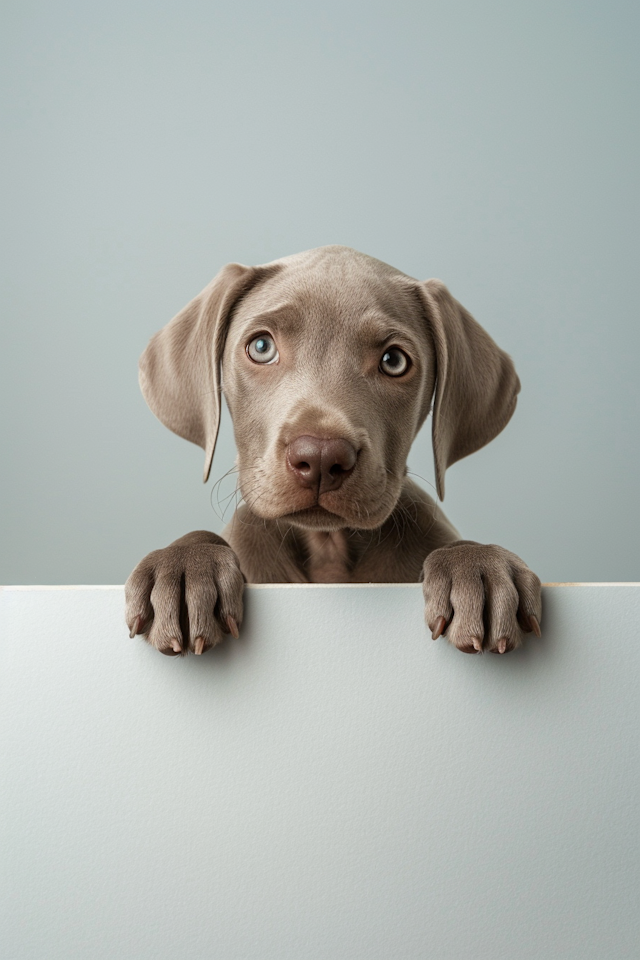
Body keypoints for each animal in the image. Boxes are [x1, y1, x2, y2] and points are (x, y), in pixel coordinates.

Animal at [127, 244, 544, 656]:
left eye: (394, 361)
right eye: (261, 347)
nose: (321, 458)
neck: (329, 547)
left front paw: (477, 563)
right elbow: (203, 539)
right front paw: (185, 566)